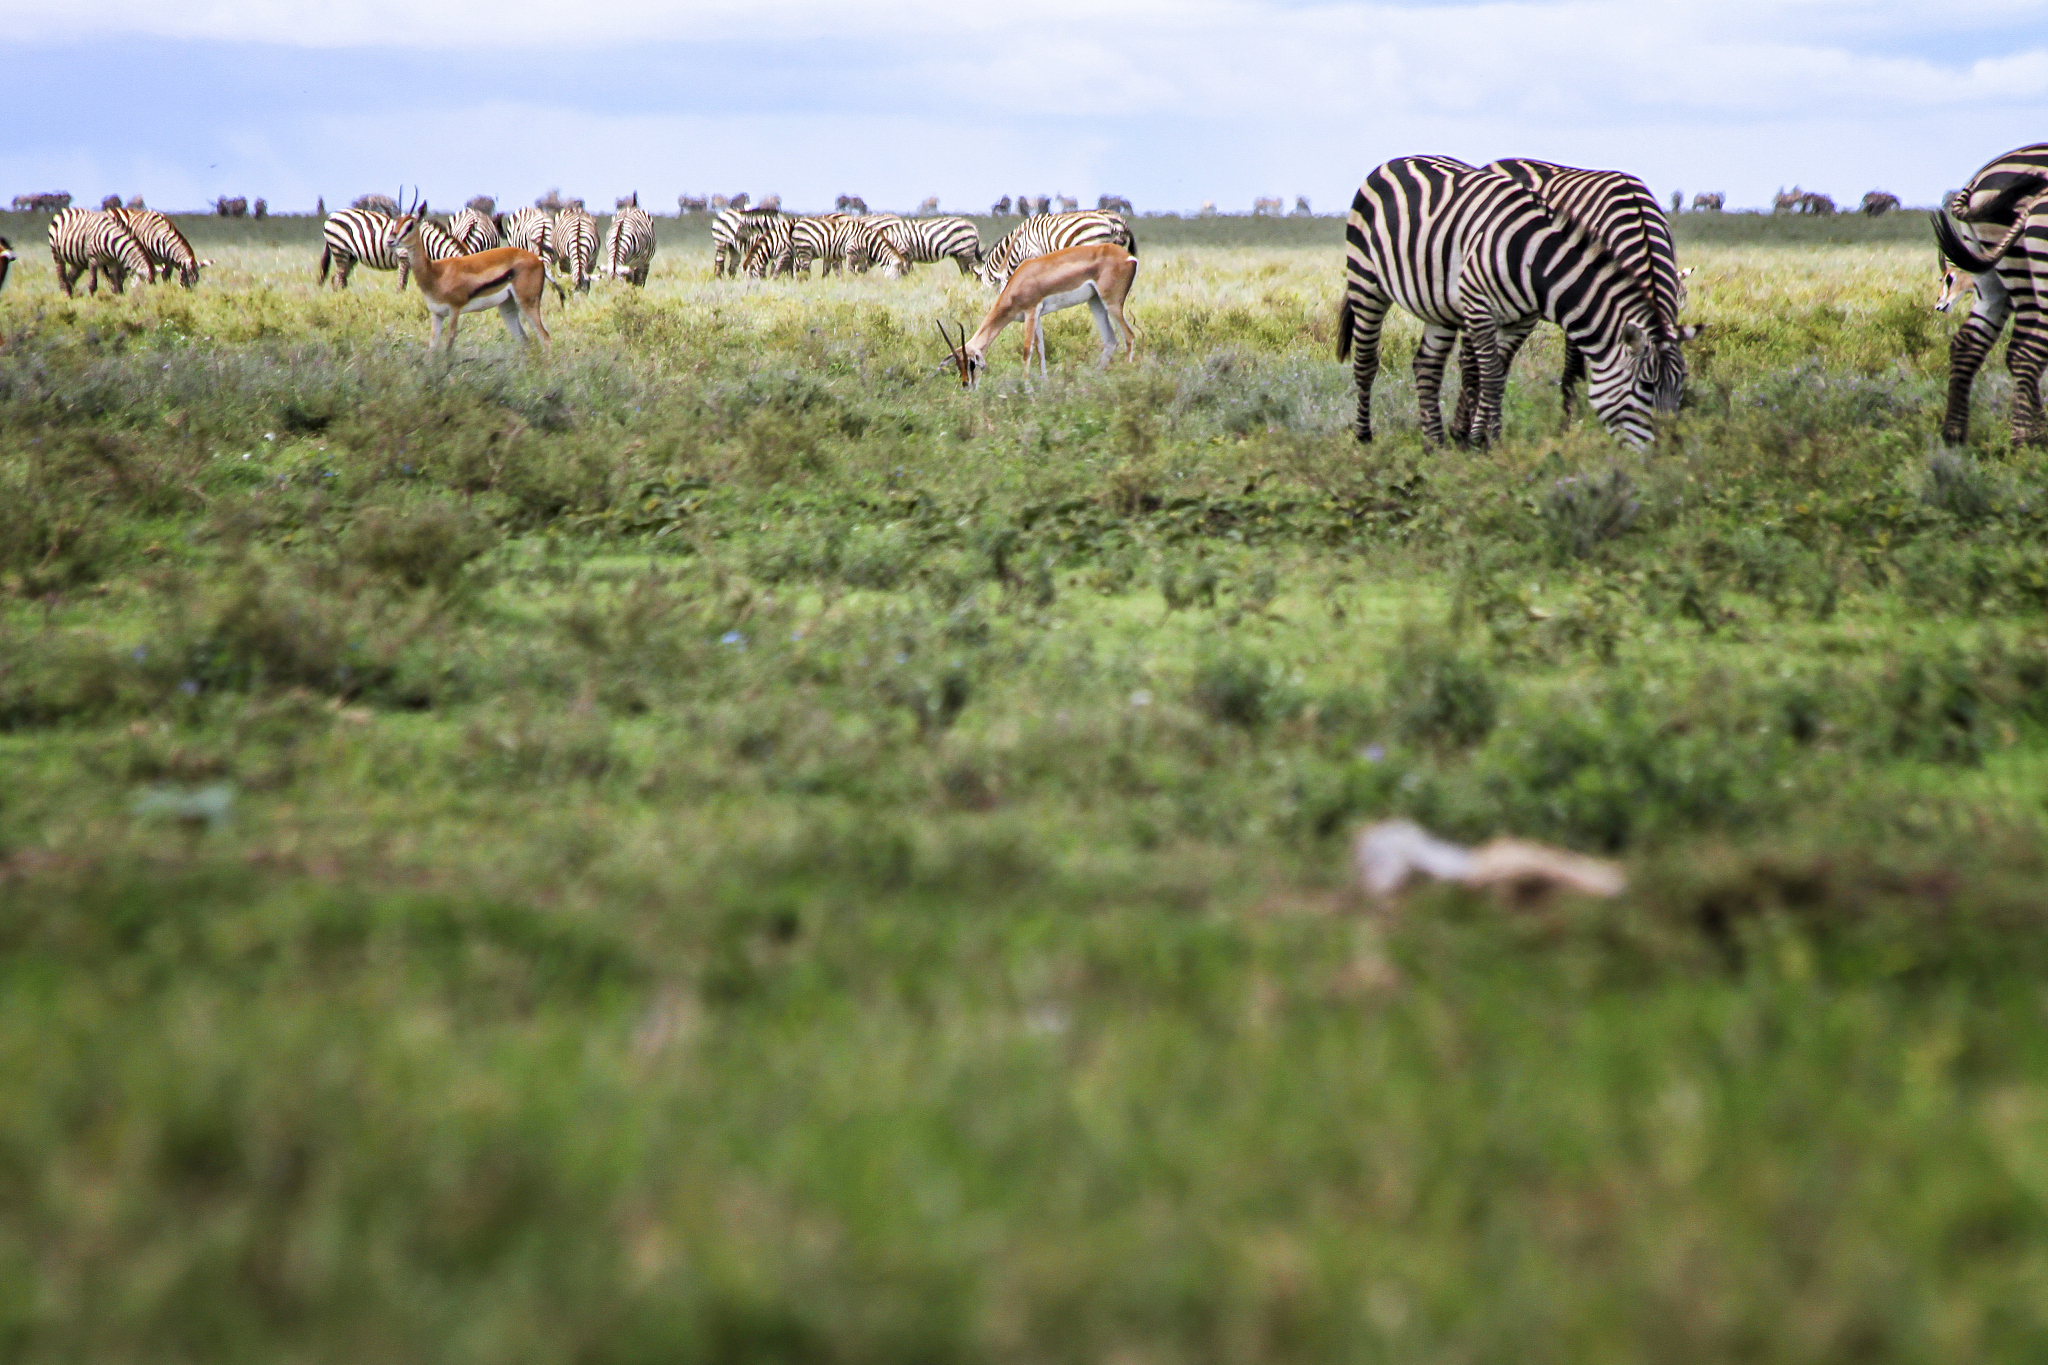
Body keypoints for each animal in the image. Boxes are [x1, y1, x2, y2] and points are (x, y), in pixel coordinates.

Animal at [318, 209, 461, 290]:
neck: (426, 243)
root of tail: (332, 215)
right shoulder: (404, 258)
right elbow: (401, 285)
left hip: (351, 256)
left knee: (337, 278)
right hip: (339, 249)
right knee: (340, 278)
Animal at [385, 193, 561, 355]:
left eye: (410, 225)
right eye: (396, 223)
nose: (390, 241)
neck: (435, 273)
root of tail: (538, 260)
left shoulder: (454, 310)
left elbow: (448, 347)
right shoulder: (437, 314)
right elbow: (432, 349)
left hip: (527, 304)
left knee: (546, 338)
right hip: (507, 307)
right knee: (525, 341)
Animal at [938, 241, 1139, 389]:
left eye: (971, 363)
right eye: (958, 365)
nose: (966, 384)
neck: (1018, 281)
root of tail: (1129, 257)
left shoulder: (1031, 310)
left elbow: (1027, 350)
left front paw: (1027, 388)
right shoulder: (1038, 316)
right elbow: (1041, 348)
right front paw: (1045, 383)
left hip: (1111, 303)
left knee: (1129, 336)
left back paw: (1126, 378)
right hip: (1095, 302)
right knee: (1111, 340)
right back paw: (1094, 380)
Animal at [1337, 156, 1674, 448]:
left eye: (1680, 391)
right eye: (1645, 388)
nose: (1666, 449)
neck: (1533, 259)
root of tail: (1396, 160)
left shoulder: (1523, 319)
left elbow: (1497, 375)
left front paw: (1486, 438)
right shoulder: (1482, 307)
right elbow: (1498, 375)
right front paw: (1495, 439)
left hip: (1440, 305)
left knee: (1427, 366)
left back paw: (1436, 443)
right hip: (1367, 282)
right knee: (1368, 361)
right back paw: (1367, 436)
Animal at [1933, 147, 2048, 446]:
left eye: (1948, 280)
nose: (1939, 306)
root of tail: (1977, 179)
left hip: (1992, 279)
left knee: (1968, 343)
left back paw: (1954, 434)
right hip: (2024, 274)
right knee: (2023, 351)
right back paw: (2029, 438)